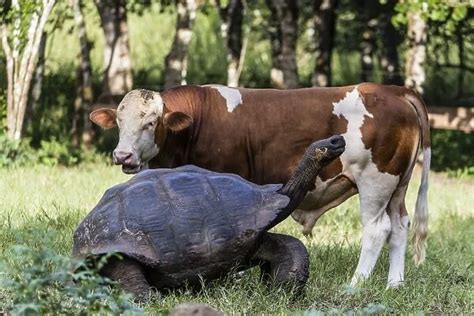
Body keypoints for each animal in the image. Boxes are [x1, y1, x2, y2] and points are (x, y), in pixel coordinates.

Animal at [90, 82, 432, 288]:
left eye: (151, 122)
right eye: (119, 122)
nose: (123, 155)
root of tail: (394, 90)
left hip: (375, 181)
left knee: (377, 229)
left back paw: (355, 284)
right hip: (397, 186)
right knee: (400, 226)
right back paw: (394, 283)